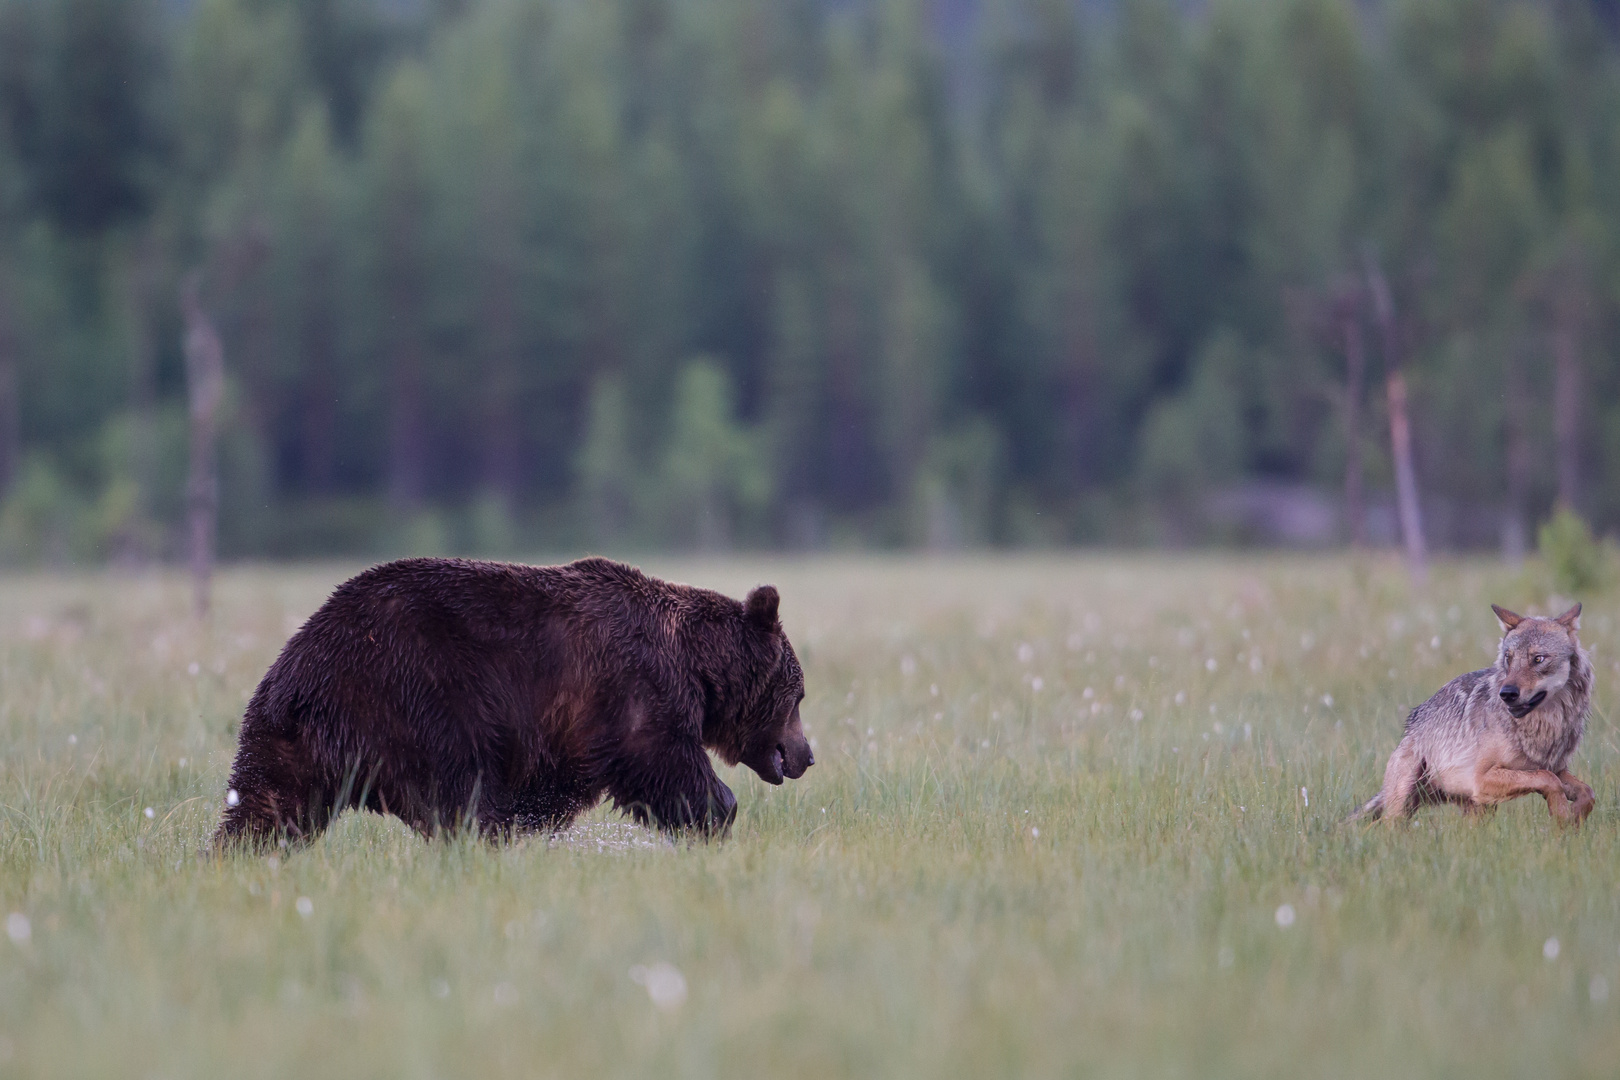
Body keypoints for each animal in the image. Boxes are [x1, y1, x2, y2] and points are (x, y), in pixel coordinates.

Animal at [212, 557, 810, 854]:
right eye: (798, 694)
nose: (806, 755)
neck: (698, 668)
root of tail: (298, 673)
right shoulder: (635, 689)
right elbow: (662, 762)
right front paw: (716, 816)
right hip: (421, 696)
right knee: (461, 792)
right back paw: (486, 840)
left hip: (288, 736)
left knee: (267, 804)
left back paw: (233, 854)